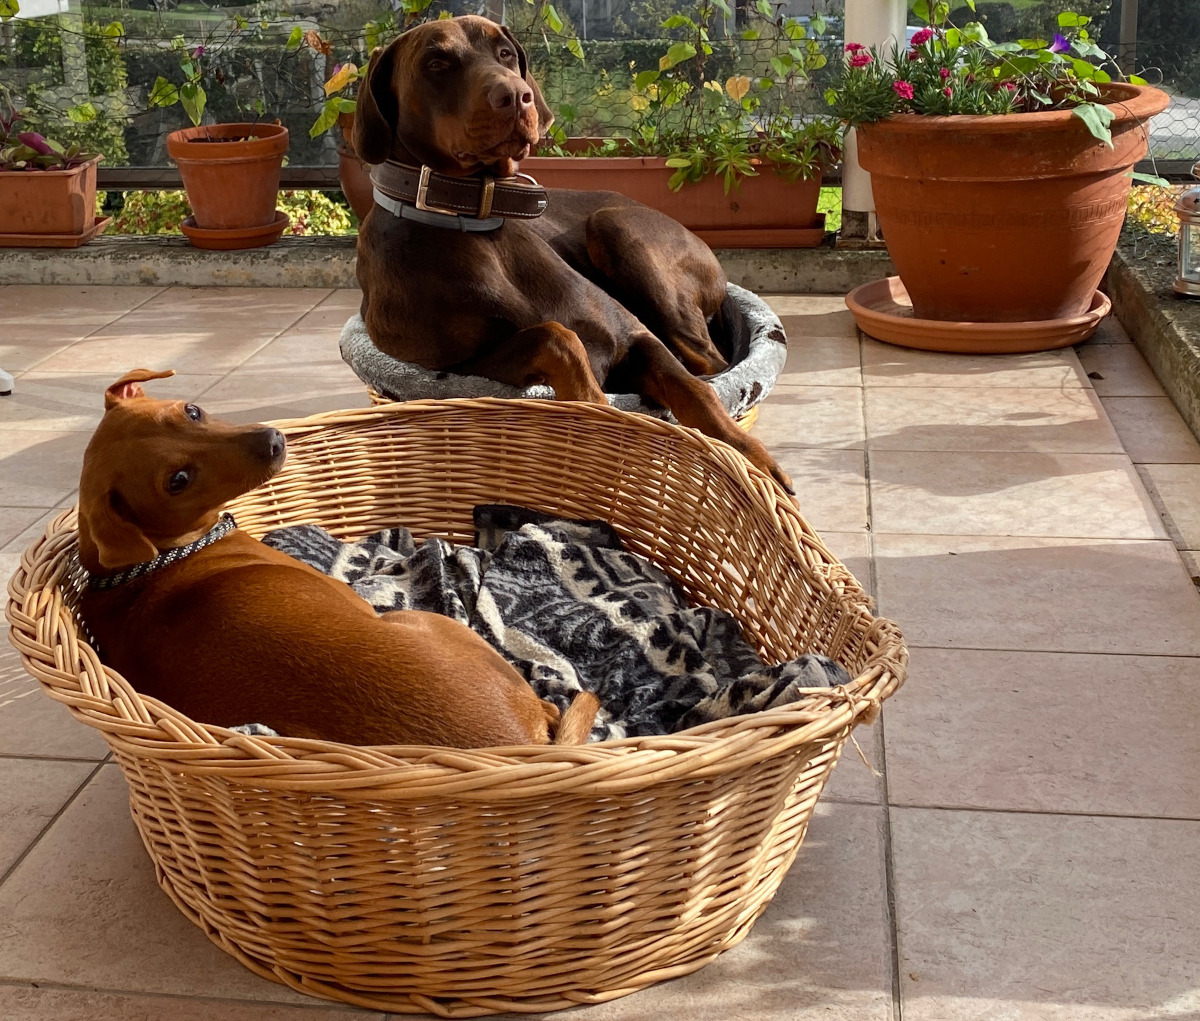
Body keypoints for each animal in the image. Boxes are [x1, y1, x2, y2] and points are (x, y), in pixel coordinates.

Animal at [76, 371, 600, 748]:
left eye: (192, 409)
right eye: (178, 480)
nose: (273, 440)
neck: (150, 563)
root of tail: (518, 744)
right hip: (430, 624)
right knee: (554, 708)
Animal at [350, 13, 792, 494]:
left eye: (505, 53)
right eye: (436, 63)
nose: (515, 95)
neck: (478, 225)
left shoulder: (635, 335)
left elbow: (697, 391)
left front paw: (754, 460)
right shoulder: (459, 366)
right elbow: (557, 337)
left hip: (616, 229)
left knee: (711, 363)